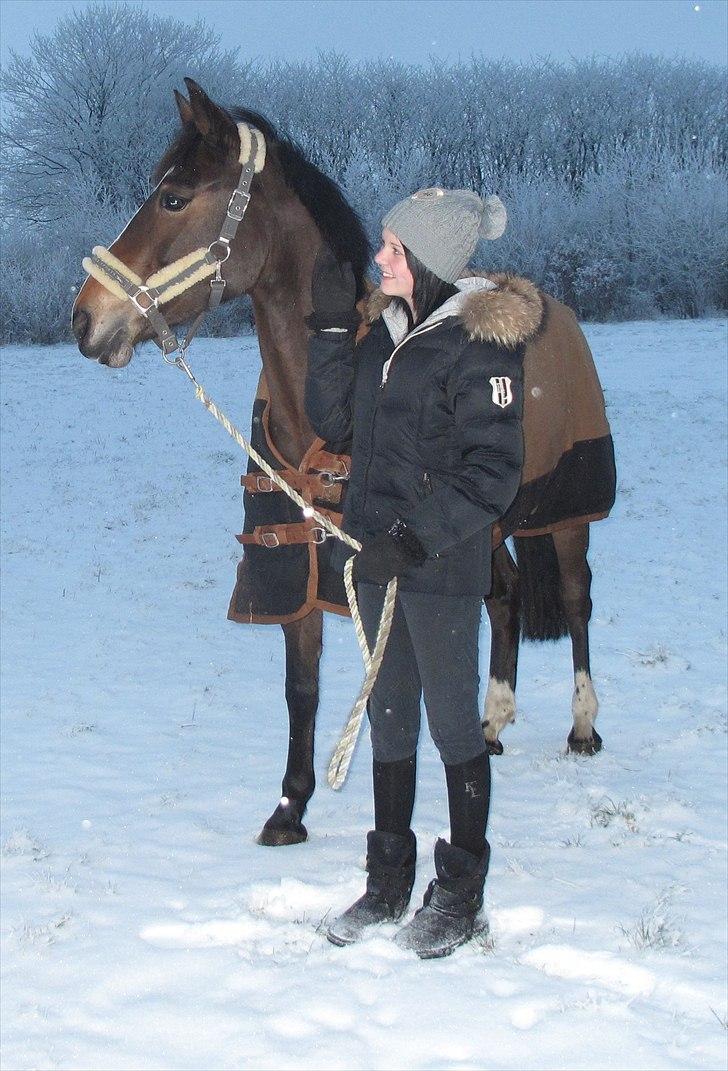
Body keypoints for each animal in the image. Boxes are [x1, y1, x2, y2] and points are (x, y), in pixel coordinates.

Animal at [72, 79, 612, 848]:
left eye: (173, 198)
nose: (85, 319)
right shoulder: (295, 559)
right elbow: (303, 689)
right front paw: (290, 806)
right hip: (488, 529)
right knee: (503, 596)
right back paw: (494, 722)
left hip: (565, 513)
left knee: (575, 598)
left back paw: (584, 724)